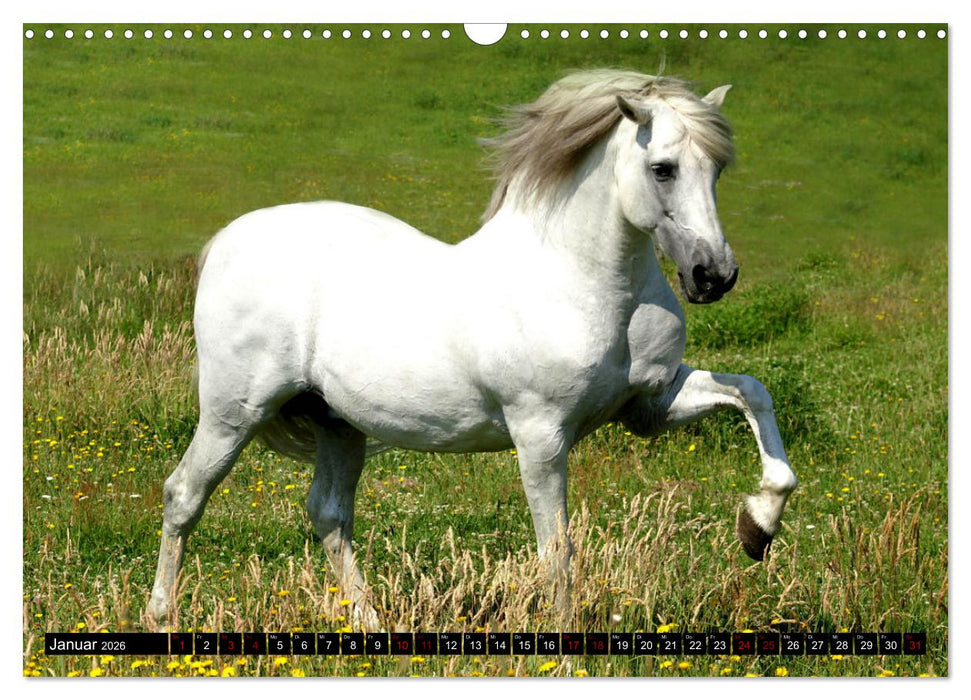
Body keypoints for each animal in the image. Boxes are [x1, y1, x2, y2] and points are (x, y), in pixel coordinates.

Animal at [147, 69, 797, 627]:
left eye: (716, 169)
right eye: (662, 168)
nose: (713, 275)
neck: (582, 283)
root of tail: (226, 241)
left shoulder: (650, 406)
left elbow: (753, 395)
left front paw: (757, 527)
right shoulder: (540, 434)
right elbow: (557, 548)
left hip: (337, 423)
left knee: (328, 514)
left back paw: (371, 625)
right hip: (234, 413)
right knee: (184, 495)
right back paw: (162, 617)